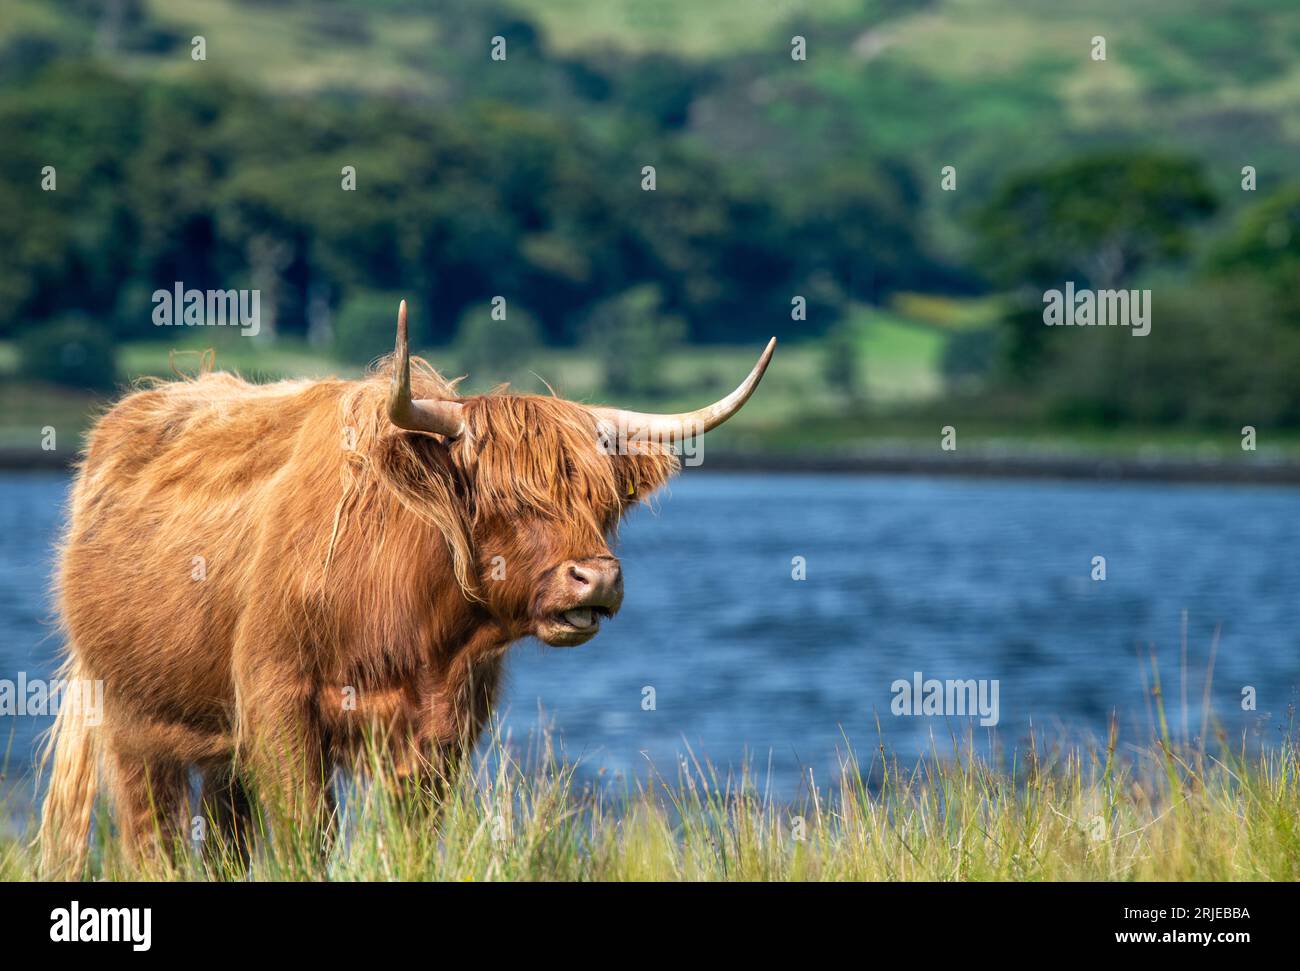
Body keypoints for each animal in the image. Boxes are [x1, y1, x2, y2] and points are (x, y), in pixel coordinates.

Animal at [38, 304, 769, 873]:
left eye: (601, 500)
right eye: (506, 497)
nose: (599, 577)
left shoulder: (443, 728)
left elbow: (410, 839)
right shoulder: (278, 702)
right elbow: (308, 837)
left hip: (217, 742)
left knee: (223, 841)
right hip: (132, 718)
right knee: (151, 836)